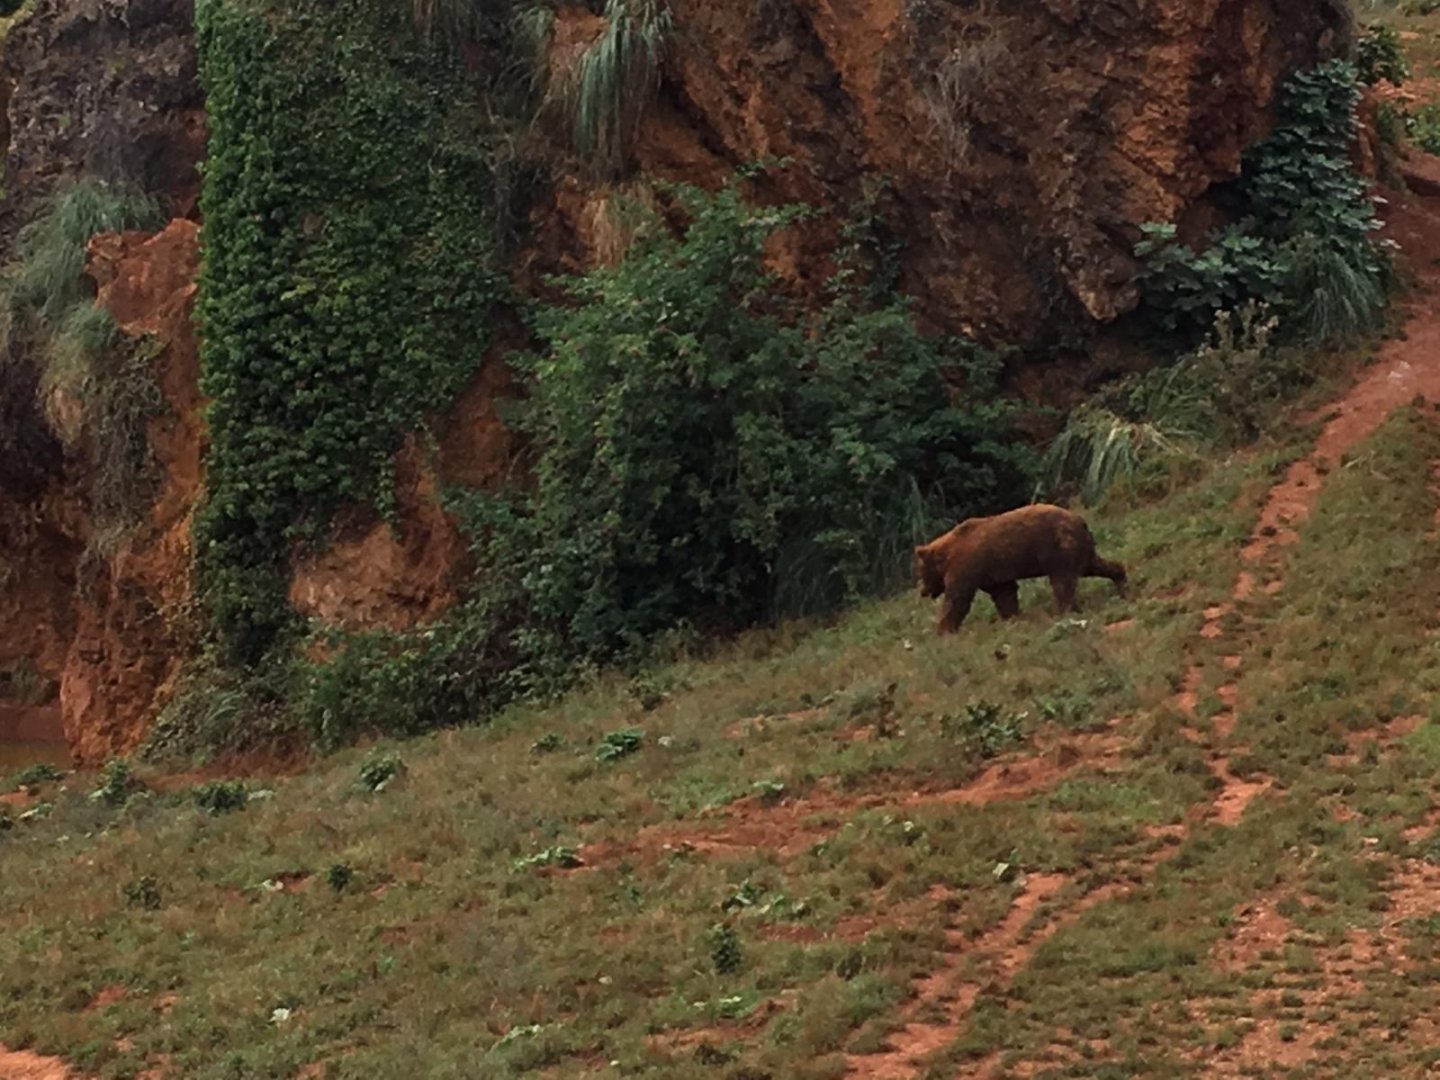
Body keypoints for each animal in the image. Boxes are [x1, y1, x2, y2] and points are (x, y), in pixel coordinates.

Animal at [913, 504, 1126, 635]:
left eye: (921, 573)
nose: (923, 592)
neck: (947, 555)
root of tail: (1080, 519)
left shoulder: (967, 567)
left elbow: (957, 599)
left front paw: (944, 629)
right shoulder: (992, 574)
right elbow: (1004, 594)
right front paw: (1011, 617)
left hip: (1059, 549)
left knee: (1062, 583)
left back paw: (1064, 611)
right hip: (1079, 550)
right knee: (1097, 566)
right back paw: (1121, 582)